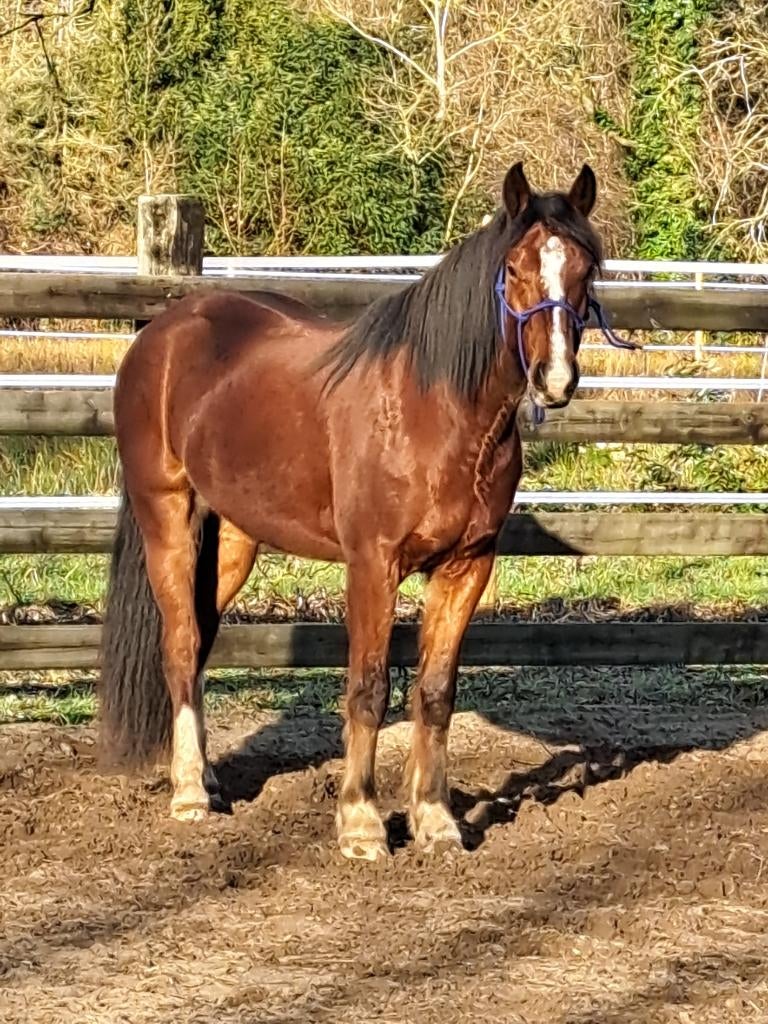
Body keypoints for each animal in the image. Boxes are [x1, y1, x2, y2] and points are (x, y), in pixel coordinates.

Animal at [101, 161, 611, 861]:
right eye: (514, 267)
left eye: (586, 267)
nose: (555, 378)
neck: (434, 410)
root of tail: (162, 334)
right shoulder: (372, 564)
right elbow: (368, 688)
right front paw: (362, 823)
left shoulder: (467, 566)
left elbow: (435, 692)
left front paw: (436, 820)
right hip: (168, 520)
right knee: (179, 644)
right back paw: (188, 796)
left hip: (231, 540)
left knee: (200, 642)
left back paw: (208, 778)